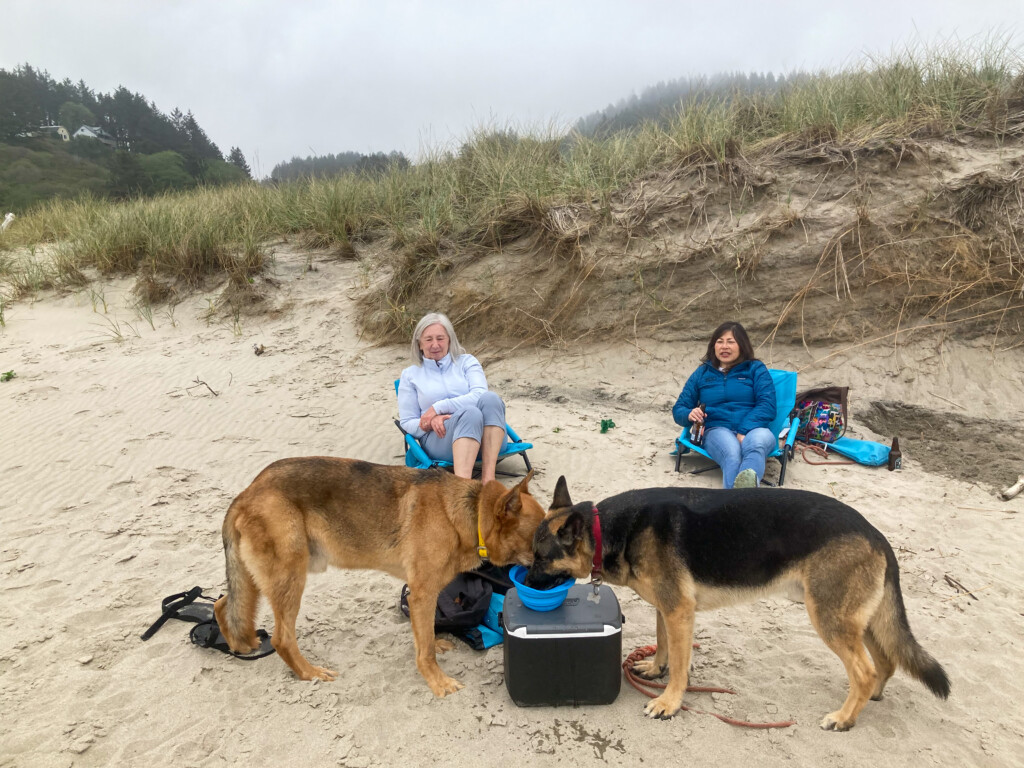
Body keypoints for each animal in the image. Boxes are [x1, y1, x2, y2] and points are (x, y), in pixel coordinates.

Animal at [528, 481, 950, 733]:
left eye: (540, 559)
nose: (522, 585)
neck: (610, 529)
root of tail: (877, 535)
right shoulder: (668, 609)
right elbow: (663, 645)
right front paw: (655, 668)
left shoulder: (679, 611)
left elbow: (680, 665)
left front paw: (670, 702)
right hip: (859, 621)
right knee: (886, 661)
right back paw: (869, 699)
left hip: (829, 619)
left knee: (863, 670)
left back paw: (845, 718)